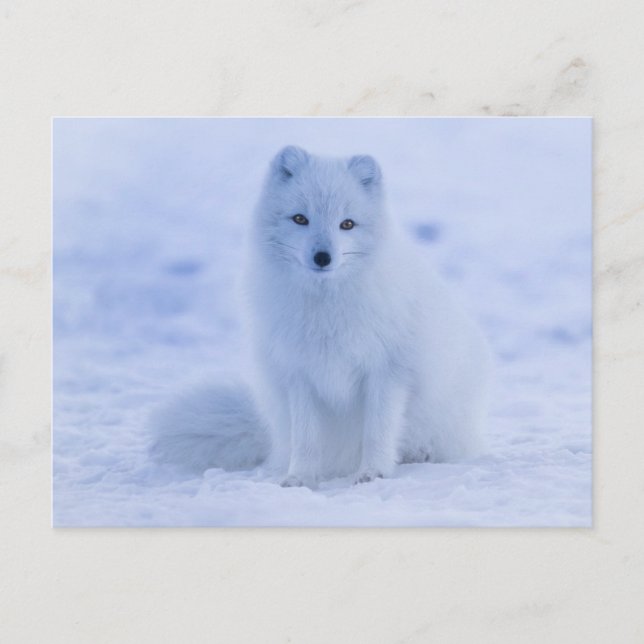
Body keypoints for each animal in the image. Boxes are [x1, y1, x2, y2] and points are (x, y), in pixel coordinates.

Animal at [150, 145, 492, 488]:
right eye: (300, 218)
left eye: (347, 224)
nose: (323, 257)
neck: (326, 308)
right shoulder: (299, 374)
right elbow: (306, 439)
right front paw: (299, 478)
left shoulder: (387, 371)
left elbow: (378, 431)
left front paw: (373, 473)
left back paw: (419, 454)